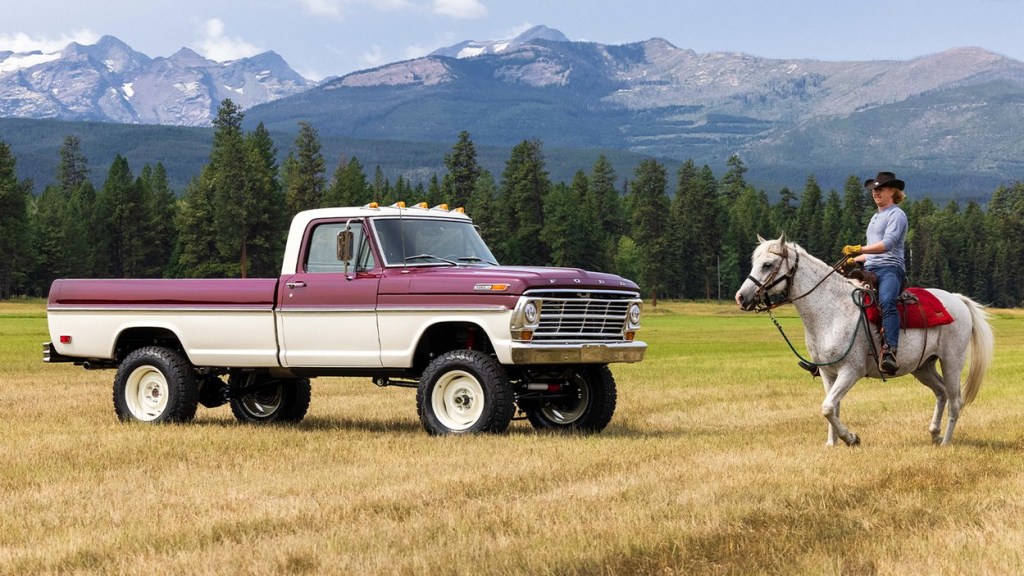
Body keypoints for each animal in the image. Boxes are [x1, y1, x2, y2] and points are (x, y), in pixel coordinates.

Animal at [734, 234, 994, 446]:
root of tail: (958, 300)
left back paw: (946, 442)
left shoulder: (851, 371)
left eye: (767, 264)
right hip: (923, 366)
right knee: (941, 393)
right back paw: (934, 433)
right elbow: (833, 407)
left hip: (952, 361)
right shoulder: (828, 373)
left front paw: (851, 438)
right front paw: (832, 443)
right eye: (755, 262)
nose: (741, 297)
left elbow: (827, 407)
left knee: (955, 401)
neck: (833, 311)